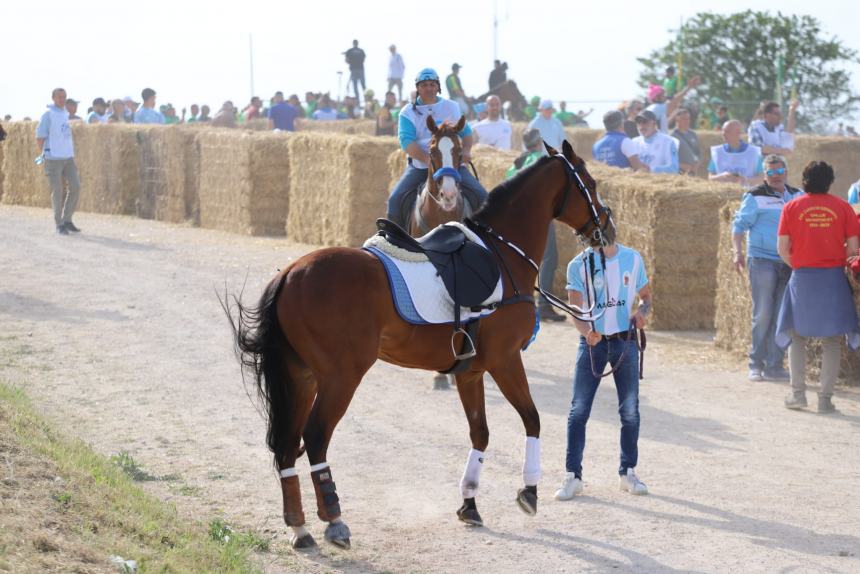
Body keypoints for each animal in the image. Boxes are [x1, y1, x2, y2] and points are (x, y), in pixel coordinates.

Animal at [222, 141, 612, 552]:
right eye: (590, 183)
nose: (607, 227)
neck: (501, 254)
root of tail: (290, 274)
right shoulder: (505, 361)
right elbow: (532, 419)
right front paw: (529, 490)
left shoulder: (470, 372)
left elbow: (480, 433)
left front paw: (469, 502)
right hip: (341, 377)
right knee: (315, 437)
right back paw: (334, 520)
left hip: (300, 376)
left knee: (286, 444)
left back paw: (300, 528)